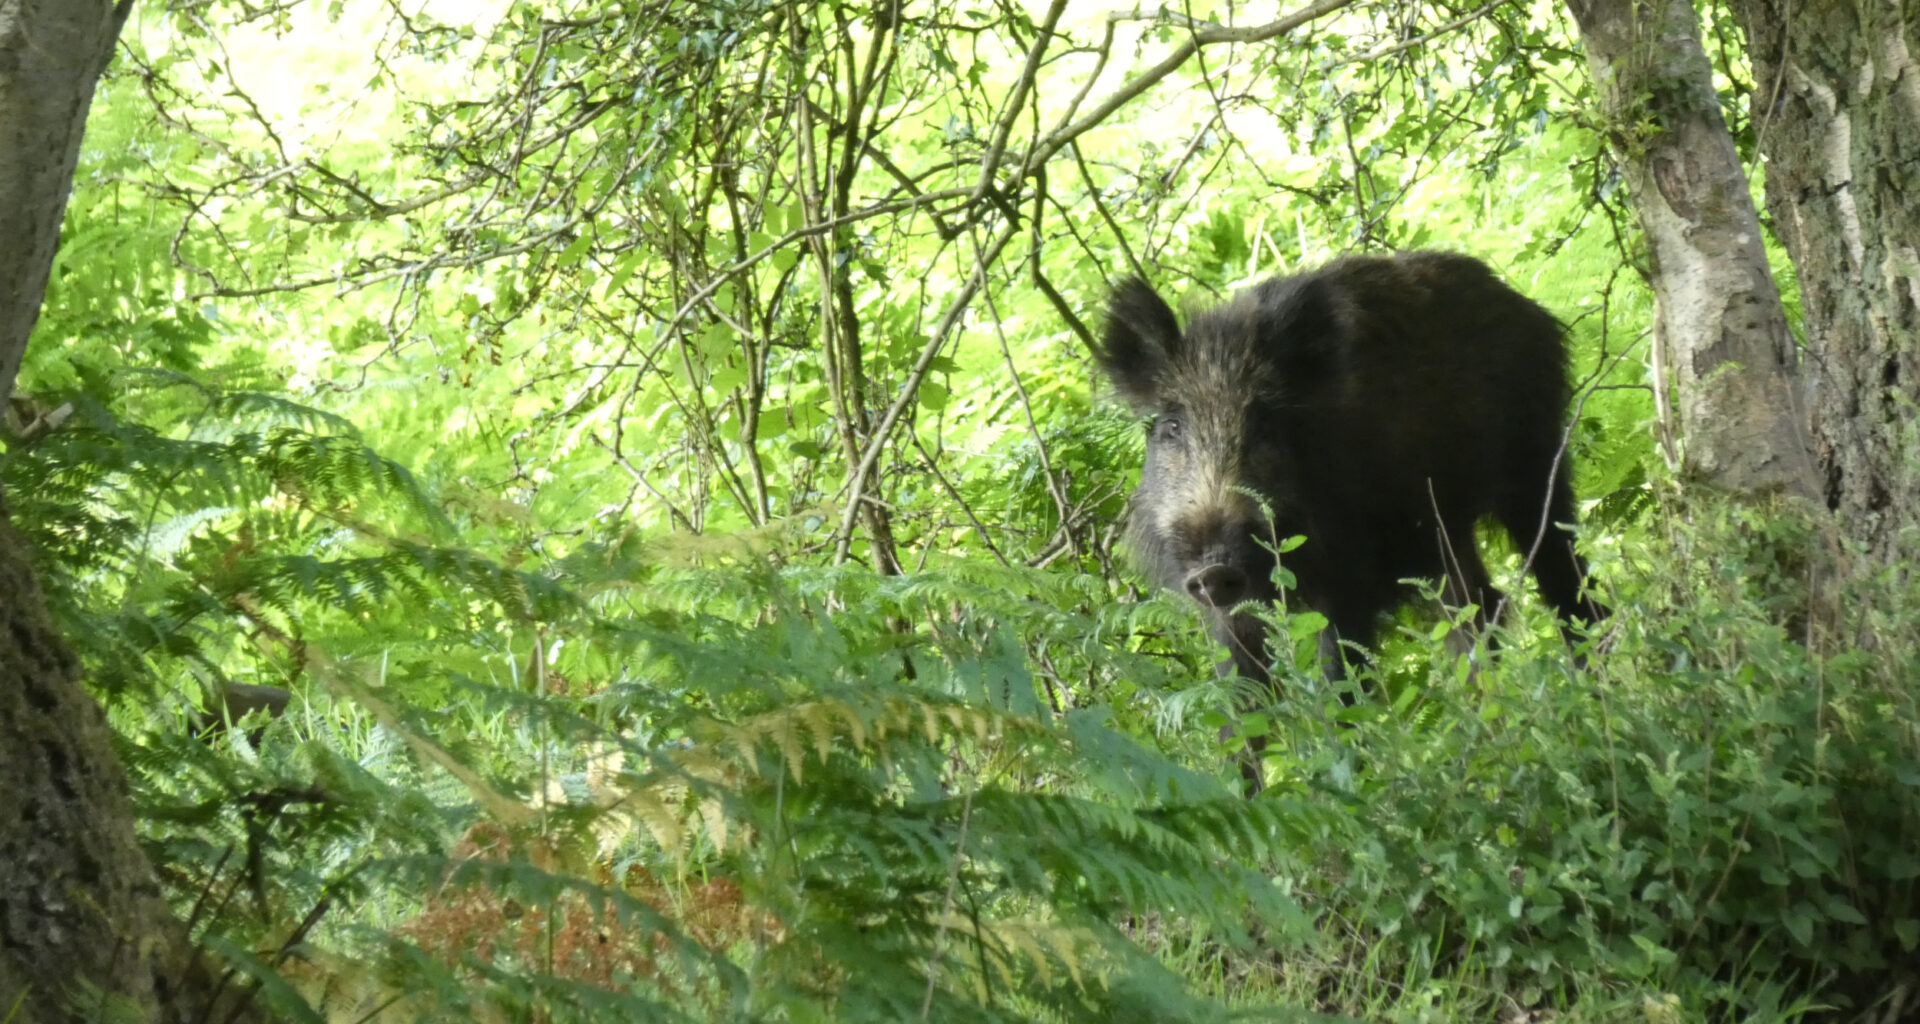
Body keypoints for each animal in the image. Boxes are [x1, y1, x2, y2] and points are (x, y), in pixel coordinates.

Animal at [1096, 252, 1605, 792]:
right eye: (1172, 427)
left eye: (1263, 426)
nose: (1214, 569)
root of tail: (1520, 303)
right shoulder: (1230, 614)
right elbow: (1240, 710)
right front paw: (1242, 799)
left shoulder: (1349, 581)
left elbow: (1340, 688)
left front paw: (1346, 785)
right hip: (1445, 532)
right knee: (1480, 610)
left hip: (1537, 467)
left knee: (1567, 585)